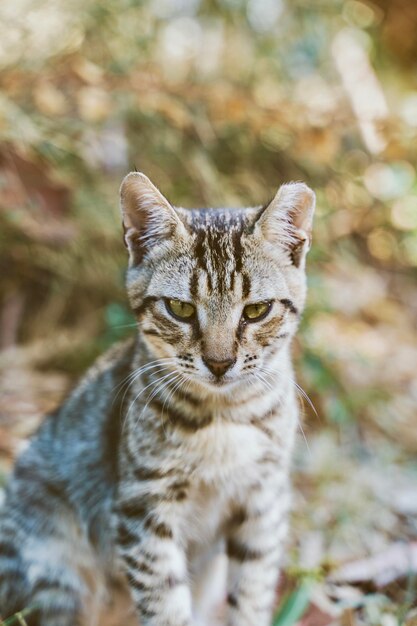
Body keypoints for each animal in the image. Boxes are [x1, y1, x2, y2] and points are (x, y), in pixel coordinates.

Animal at [0, 171, 312, 624]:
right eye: (180, 308)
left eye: (256, 311)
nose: (220, 363)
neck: (223, 415)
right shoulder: (144, 506)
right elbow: (165, 600)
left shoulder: (263, 500)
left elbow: (252, 592)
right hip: (54, 566)